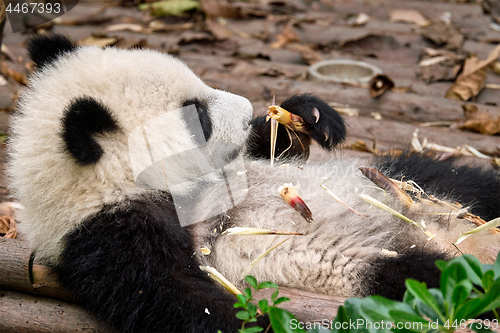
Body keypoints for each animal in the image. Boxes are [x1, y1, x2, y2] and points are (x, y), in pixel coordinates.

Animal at [6, 34, 500, 332]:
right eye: (198, 117)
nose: (246, 109)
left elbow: (266, 150)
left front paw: (310, 116)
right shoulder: (111, 236)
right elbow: (177, 297)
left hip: (413, 186)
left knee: (457, 181)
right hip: (382, 268)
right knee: (435, 275)